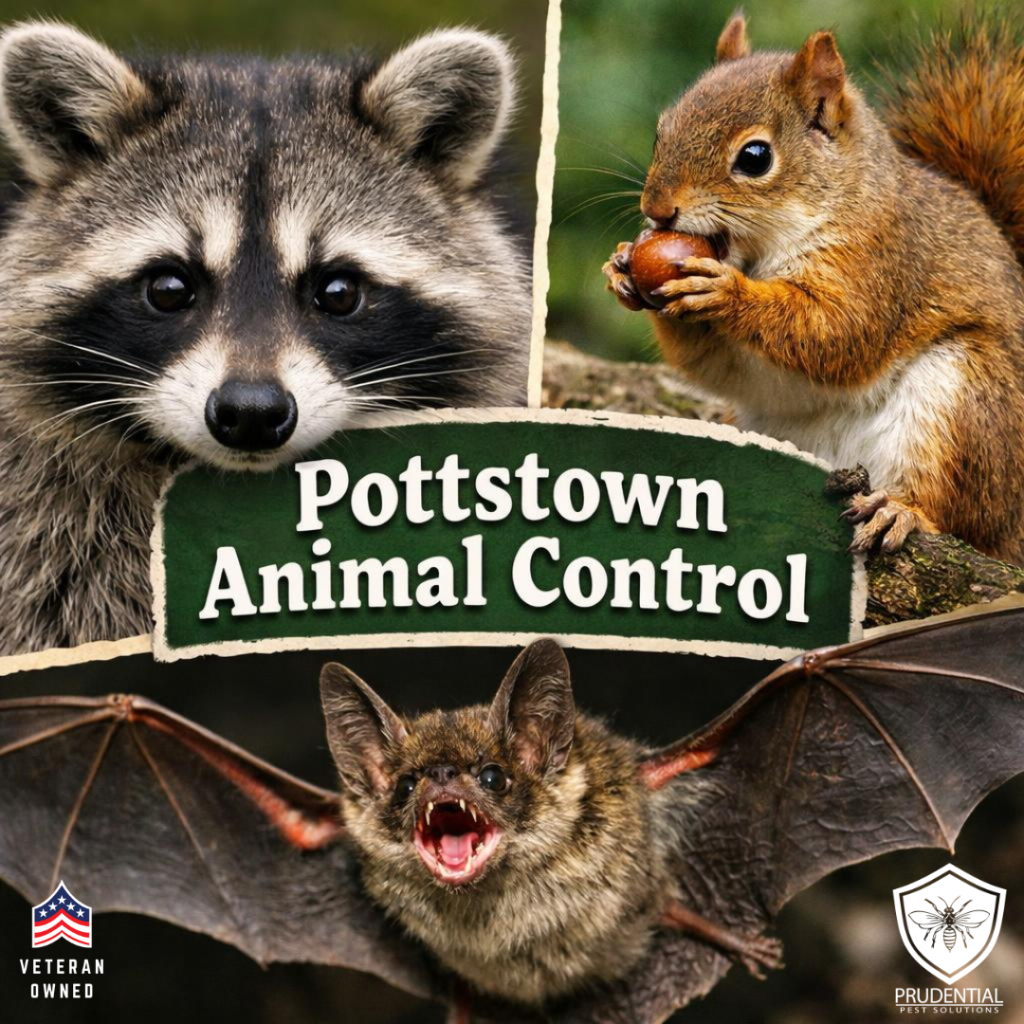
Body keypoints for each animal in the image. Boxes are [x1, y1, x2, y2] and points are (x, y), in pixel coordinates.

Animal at [603, 15, 1024, 564]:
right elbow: (715, 365)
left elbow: (835, 334)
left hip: (965, 405)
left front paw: (727, 293)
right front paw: (620, 269)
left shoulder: (879, 262)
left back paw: (899, 510)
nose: (656, 210)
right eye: (661, 131)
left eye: (755, 157)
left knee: (950, 507)